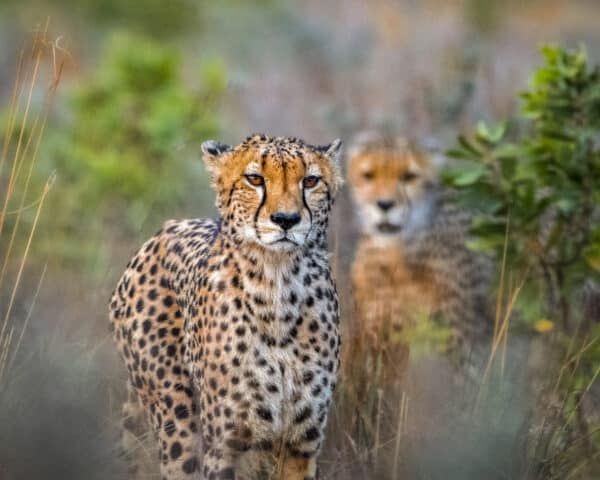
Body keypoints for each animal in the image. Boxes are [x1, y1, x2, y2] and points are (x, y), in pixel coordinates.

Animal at [108, 133, 342, 478]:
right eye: (254, 179)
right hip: (176, 419)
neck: (279, 287)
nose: (286, 220)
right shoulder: (224, 445)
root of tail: (164, 229)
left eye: (311, 181)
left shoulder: (301, 443)